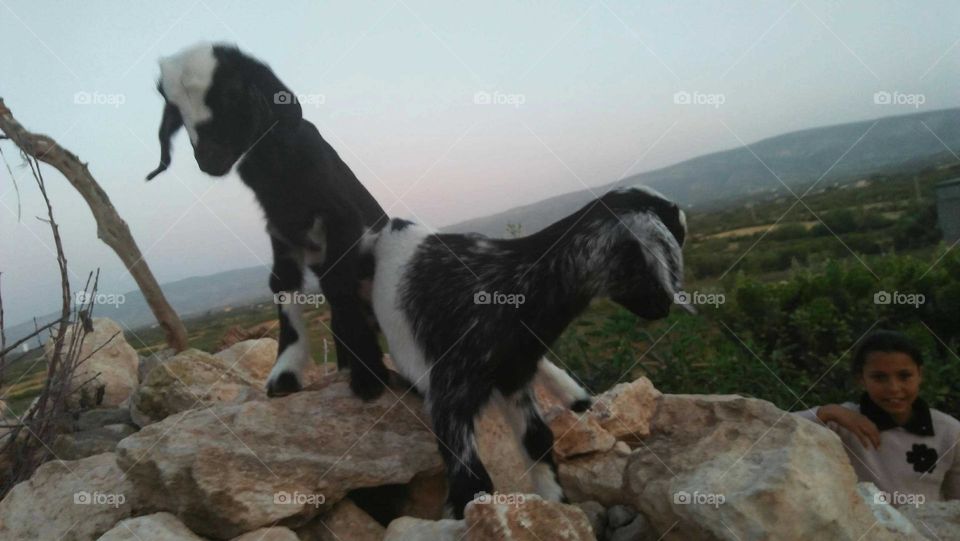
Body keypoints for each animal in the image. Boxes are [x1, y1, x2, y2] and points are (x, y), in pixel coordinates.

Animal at [147, 43, 390, 396]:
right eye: (175, 111)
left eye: (231, 90)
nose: (209, 158)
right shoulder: (280, 232)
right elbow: (282, 283)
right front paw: (284, 375)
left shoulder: (341, 217)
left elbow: (336, 283)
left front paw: (368, 377)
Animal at [364, 188, 688, 516]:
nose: (663, 308)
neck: (514, 285)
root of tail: (397, 225)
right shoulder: (451, 395)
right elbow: (471, 479)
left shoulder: (514, 376)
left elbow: (537, 439)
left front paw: (557, 503)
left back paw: (574, 395)